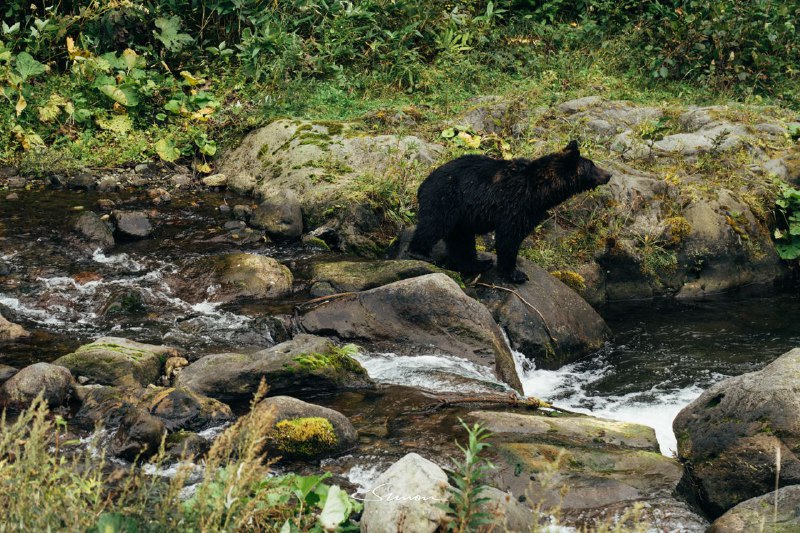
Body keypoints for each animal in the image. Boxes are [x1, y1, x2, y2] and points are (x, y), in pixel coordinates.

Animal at [412, 140, 612, 282]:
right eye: (592, 165)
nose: (609, 174)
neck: (540, 190)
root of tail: (423, 185)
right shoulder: (516, 206)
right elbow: (509, 238)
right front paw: (516, 273)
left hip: (461, 217)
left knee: (461, 240)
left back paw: (478, 263)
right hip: (446, 199)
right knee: (434, 225)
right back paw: (419, 252)